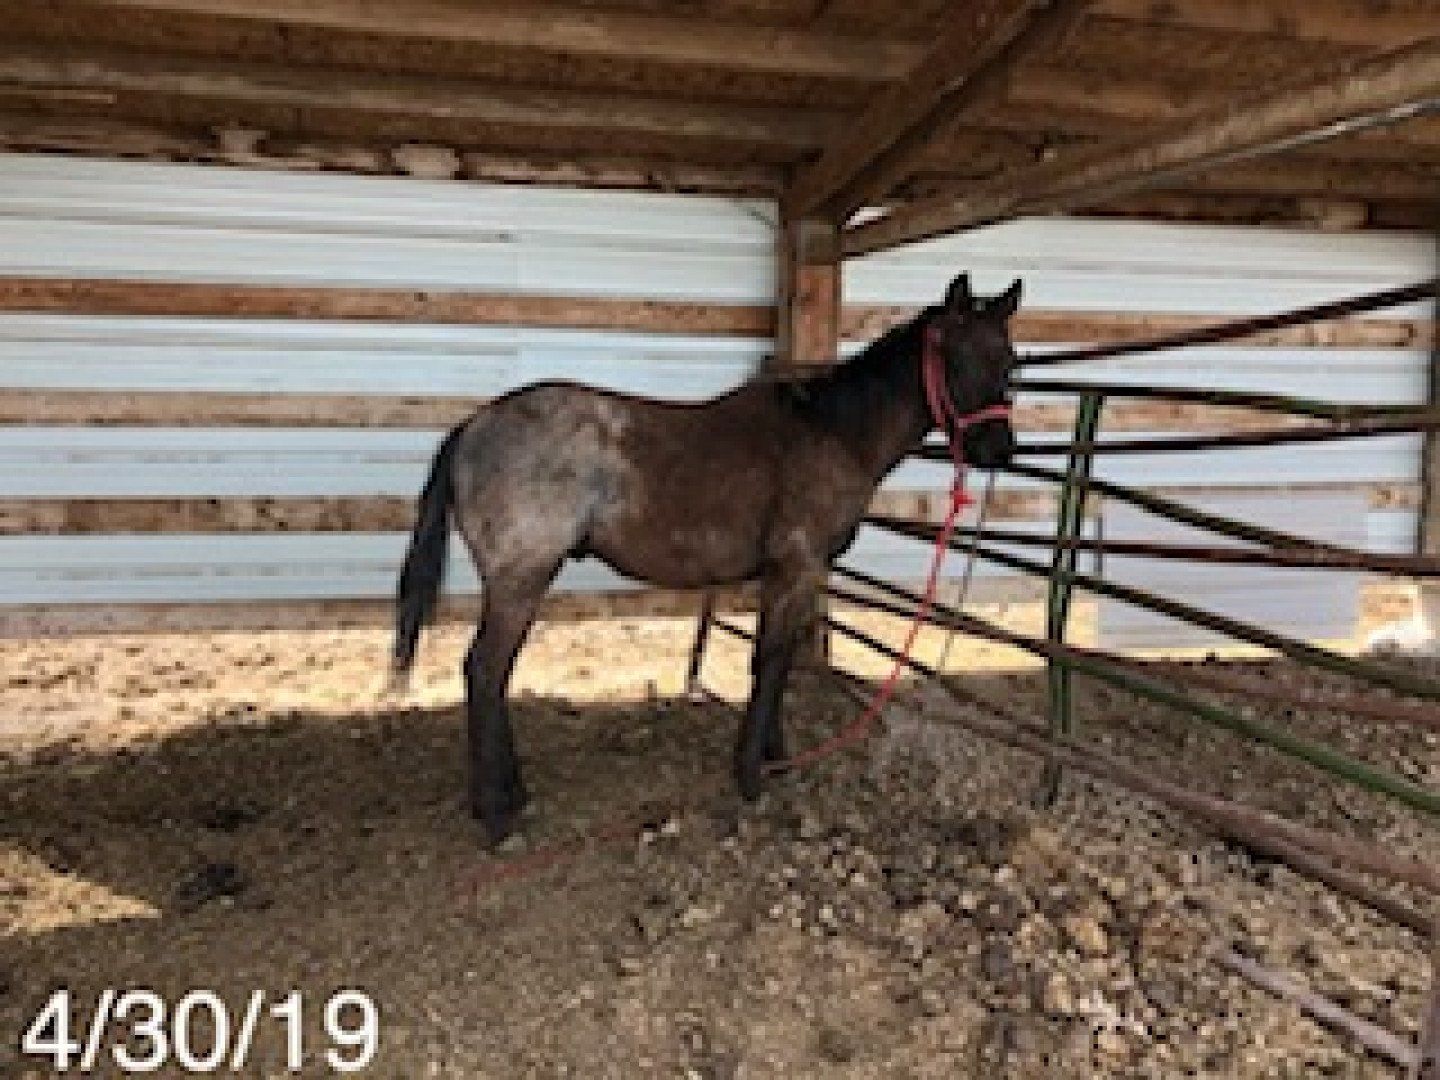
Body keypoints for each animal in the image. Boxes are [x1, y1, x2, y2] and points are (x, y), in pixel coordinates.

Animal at [391, 272, 1021, 842]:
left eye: (1011, 361)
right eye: (957, 358)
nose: (999, 451)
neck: (833, 432)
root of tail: (473, 426)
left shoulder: (789, 574)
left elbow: (777, 662)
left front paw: (773, 756)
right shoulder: (797, 567)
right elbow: (769, 662)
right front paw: (750, 776)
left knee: (490, 675)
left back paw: (509, 798)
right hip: (520, 579)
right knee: (484, 671)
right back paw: (497, 815)